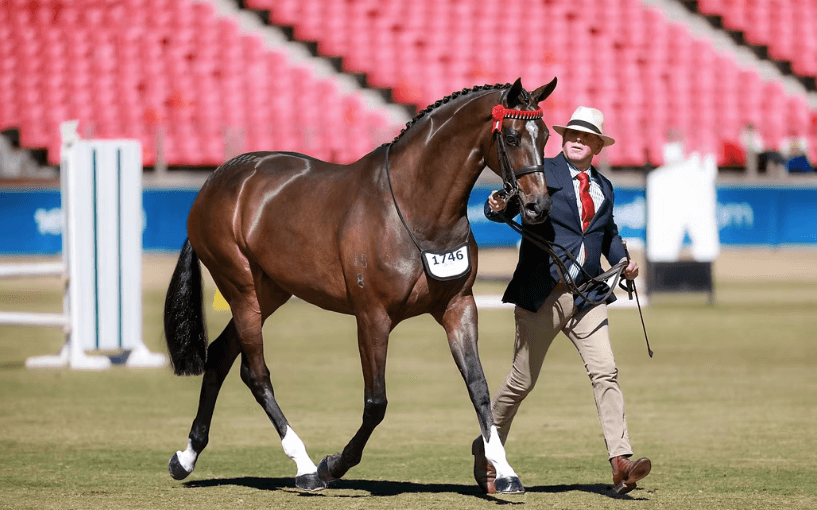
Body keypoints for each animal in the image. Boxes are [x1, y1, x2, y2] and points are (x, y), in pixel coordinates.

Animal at [163, 77, 558, 493]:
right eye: (512, 137)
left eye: (546, 135)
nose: (538, 206)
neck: (415, 208)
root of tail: (218, 178)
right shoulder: (372, 317)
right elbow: (376, 402)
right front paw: (333, 464)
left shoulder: (458, 307)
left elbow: (478, 388)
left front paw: (506, 471)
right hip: (243, 292)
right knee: (255, 373)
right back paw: (304, 466)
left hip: (269, 292)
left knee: (220, 355)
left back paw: (186, 457)